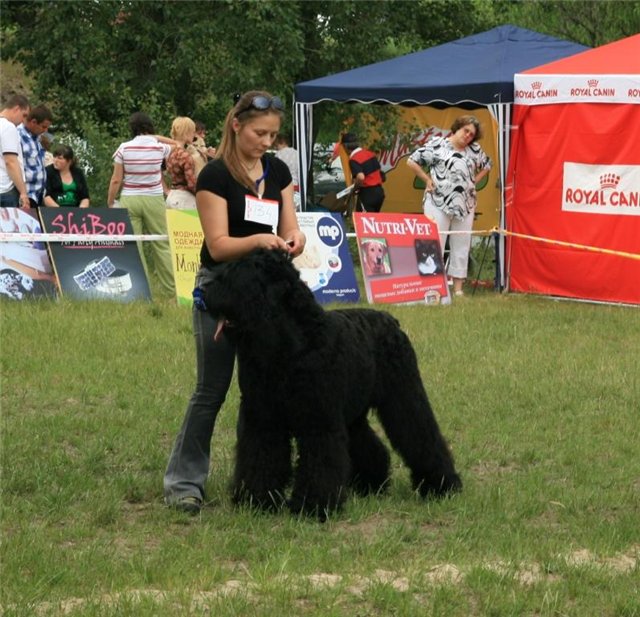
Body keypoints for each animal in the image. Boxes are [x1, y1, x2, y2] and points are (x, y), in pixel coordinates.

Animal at [205, 248, 460, 516]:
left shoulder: (319, 419)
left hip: (404, 396)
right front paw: (256, 500)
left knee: (421, 432)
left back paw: (441, 485)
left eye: (237, 275)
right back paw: (372, 483)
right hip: (354, 414)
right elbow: (261, 457)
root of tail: (391, 320)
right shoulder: (263, 418)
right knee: (368, 443)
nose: (203, 294)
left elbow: (320, 462)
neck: (292, 342)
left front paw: (312, 505)